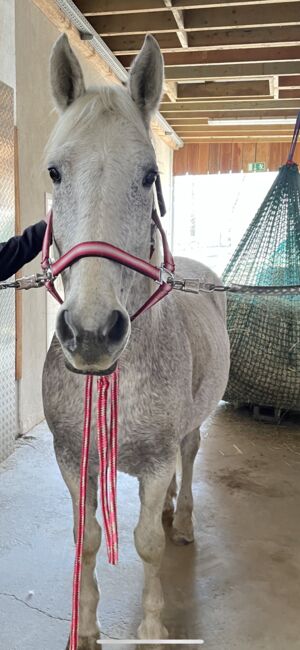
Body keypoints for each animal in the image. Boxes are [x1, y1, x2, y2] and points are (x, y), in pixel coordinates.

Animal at [42, 35, 230, 648]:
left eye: (149, 175)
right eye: (54, 172)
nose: (92, 332)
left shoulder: (155, 460)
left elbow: (147, 545)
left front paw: (150, 627)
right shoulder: (72, 458)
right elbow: (88, 540)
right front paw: (86, 626)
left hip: (190, 432)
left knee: (189, 460)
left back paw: (184, 521)